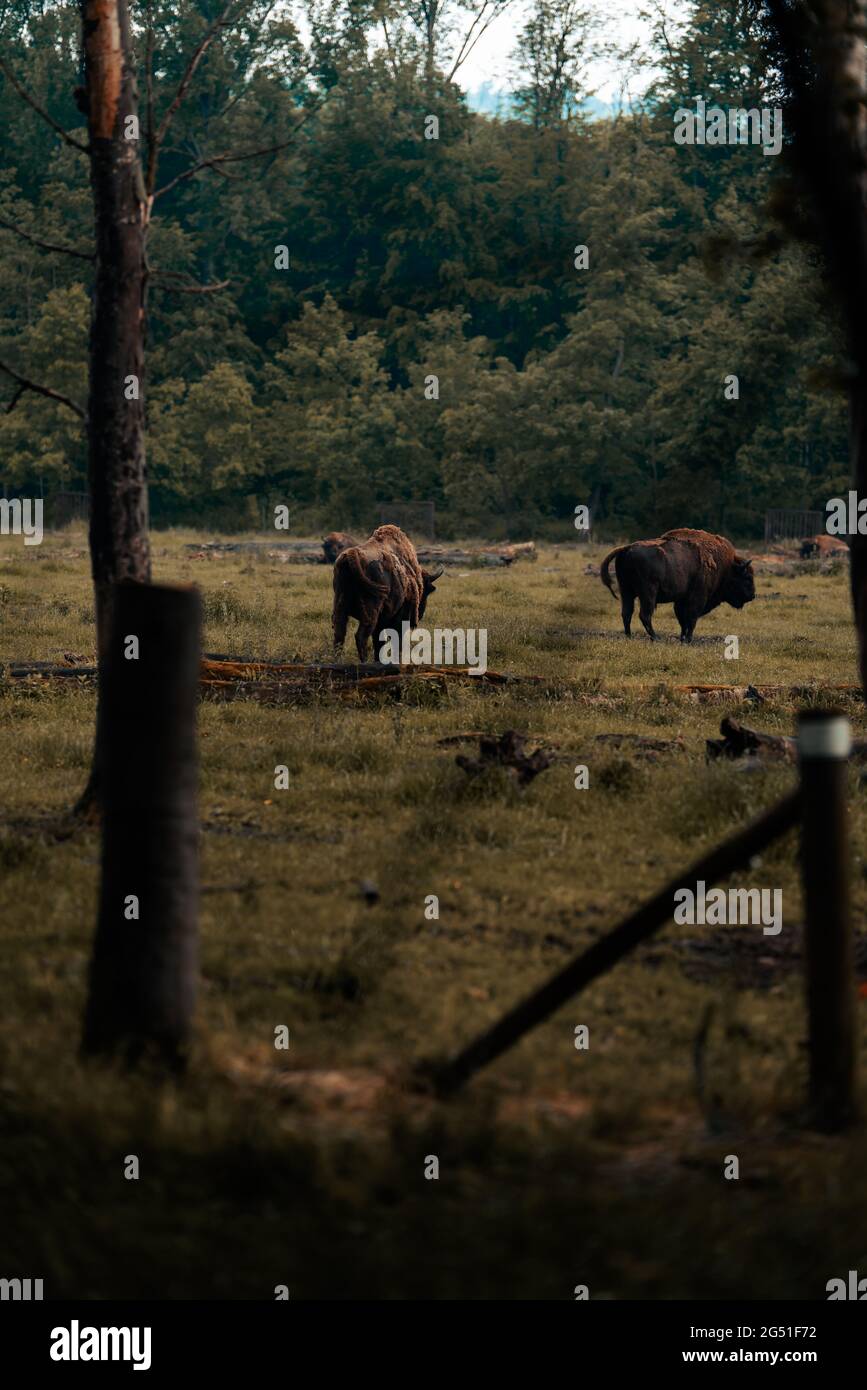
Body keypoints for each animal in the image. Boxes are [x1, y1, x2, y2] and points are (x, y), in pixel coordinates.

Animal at [601, 527, 755, 642]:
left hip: (625, 590)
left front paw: (682, 638)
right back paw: (656, 638)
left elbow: (682, 620)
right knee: (644, 615)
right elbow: (691, 619)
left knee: (627, 613)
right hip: (648, 593)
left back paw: (629, 636)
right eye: (747, 577)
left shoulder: (681, 600)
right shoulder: (697, 599)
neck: (726, 567)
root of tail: (626, 548)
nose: (753, 595)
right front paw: (688, 639)